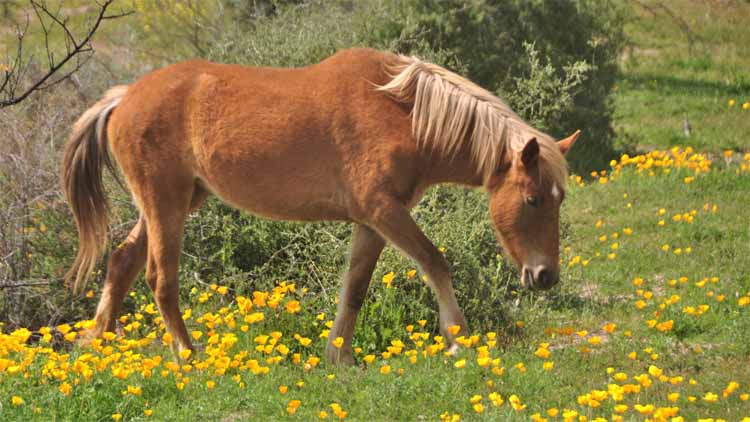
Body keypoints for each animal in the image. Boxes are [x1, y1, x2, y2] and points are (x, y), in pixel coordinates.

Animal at [64, 47, 580, 364]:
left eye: (560, 199)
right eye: (533, 199)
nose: (545, 276)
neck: (404, 112)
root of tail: (124, 97)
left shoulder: (373, 221)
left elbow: (354, 289)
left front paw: (339, 355)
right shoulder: (384, 211)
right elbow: (435, 263)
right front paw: (458, 339)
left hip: (175, 202)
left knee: (122, 262)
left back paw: (99, 342)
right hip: (165, 203)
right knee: (160, 279)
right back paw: (189, 355)